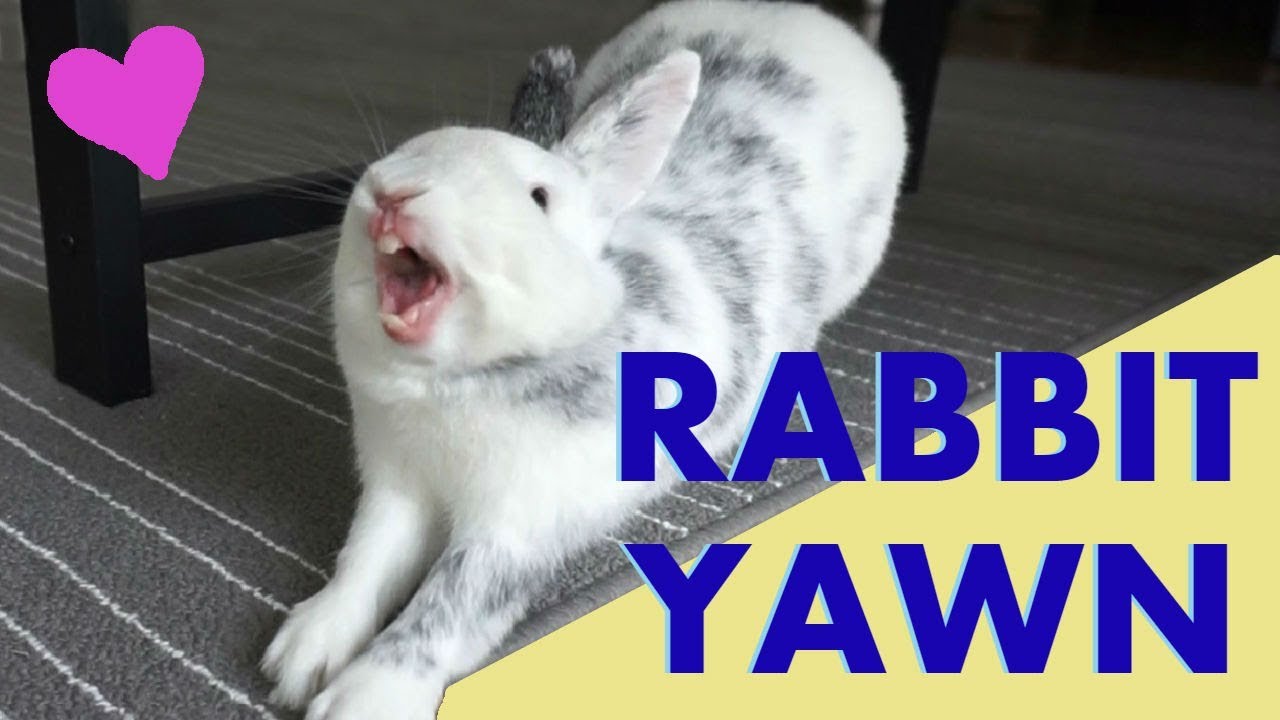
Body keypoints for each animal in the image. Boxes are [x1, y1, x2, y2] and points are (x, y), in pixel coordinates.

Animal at [261, 1, 906, 718]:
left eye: (539, 197)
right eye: (412, 146)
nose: (394, 191)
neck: (459, 380)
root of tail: (812, 18)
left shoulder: (518, 525)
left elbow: (450, 603)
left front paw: (366, 695)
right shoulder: (396, 486)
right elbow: (368, 559)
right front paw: (303, 651)